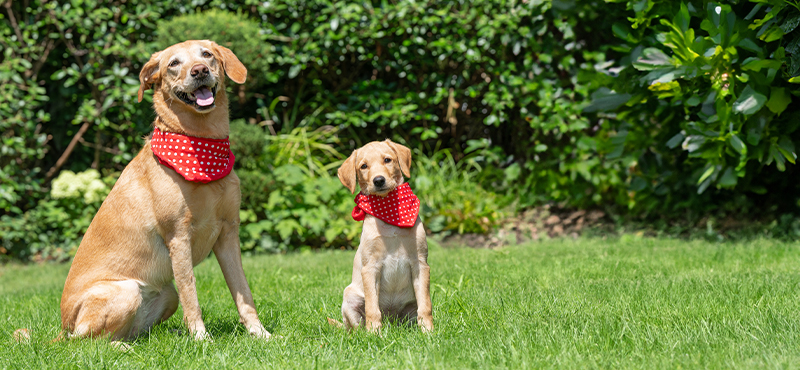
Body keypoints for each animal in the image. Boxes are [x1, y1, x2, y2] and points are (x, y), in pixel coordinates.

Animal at [58, 40, 272, 342]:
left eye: (207, 54)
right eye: (173, 63)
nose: (199, 70)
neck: (202, 147)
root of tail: (63, 326)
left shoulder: (228, 233)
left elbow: (244, 293)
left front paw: (260, 333)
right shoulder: (178, 237)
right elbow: (191, 294)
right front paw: (201, 340)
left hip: (166, 294)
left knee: (127, 333)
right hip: (125, 292)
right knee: (89, 342)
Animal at [332, 139, 432, 332]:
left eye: (387, 160)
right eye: (364, 166)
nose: (378, 180)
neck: (388, 210)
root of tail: (391, 322)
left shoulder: (420, 264)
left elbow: (426, 305)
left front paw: (429, 331)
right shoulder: (370, 267)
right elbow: (372, 307)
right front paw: (374, 333)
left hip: (409, 309)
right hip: (349, 297)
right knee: (356, 327)